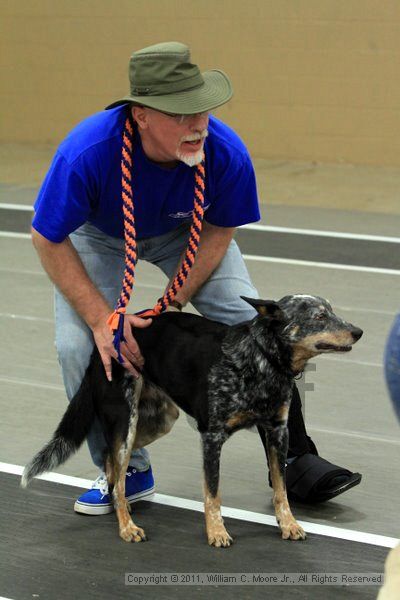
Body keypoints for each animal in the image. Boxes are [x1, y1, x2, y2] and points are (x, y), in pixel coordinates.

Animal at [21, 296, 362, 548]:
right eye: (319, 317)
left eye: (332, 311)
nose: (358, 331)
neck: (260, 359)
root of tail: (103, 345)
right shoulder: (211, 436)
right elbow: (213, 493)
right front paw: (217, 532)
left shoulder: (277, 431)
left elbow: (281, 488)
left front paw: (289, 524)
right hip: (126, 421)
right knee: (115, 465)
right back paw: (127, 526)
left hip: (159, 420)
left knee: (112, 463)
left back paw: (123, 503)